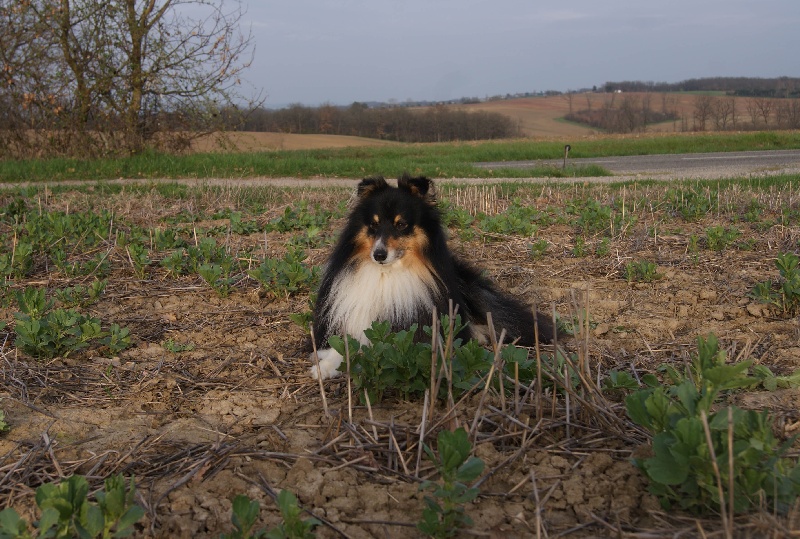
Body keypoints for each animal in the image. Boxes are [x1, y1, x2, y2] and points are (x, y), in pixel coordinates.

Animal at [308, 174, 556, 380]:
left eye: (401, 224)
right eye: (374, 224)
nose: (378, 255)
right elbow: (346, 343)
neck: (386, 274)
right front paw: (325, 366)